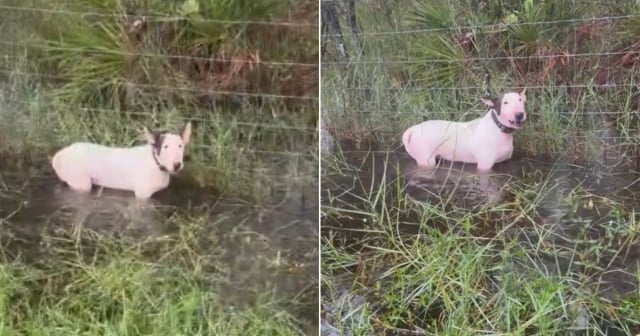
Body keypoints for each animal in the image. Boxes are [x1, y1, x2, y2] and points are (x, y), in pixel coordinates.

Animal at [51, 121, 192, 198]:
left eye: (180, 146)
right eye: (165, 146)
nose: (177, 165)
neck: (156, 163)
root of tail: (60, 155)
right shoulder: (142, 195)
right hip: (81, 183)